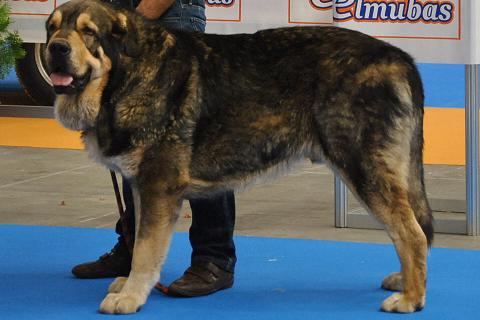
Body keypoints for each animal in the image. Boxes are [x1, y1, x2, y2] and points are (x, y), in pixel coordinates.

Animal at [46, 0, 436, 316]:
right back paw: (404, 281)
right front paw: (129, 283)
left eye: (88, 32)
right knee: (410, 230)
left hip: (363, 167)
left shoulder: (158, 186)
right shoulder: (142, 187)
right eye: (51, 27)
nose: (55, 48)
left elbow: (144, 248)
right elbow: (141, 240)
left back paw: (411, 298)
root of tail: (400, 58)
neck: (128, 74)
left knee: (411, 234)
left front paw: (131, 296)